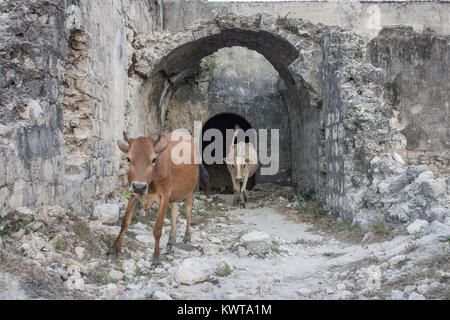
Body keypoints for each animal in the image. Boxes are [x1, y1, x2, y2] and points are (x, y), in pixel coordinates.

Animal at [109, 130, 209, 268]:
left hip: (189, 190)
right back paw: (171, 240)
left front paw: (156, 259)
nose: (139, 186)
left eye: (154, 159)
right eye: (128, 158)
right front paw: (114, 248)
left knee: (188, 212)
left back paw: (187, 237)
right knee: (174, 214)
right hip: (175, 194)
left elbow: (157, 230)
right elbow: (125, 222)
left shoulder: (165, 195)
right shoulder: (133, 193)